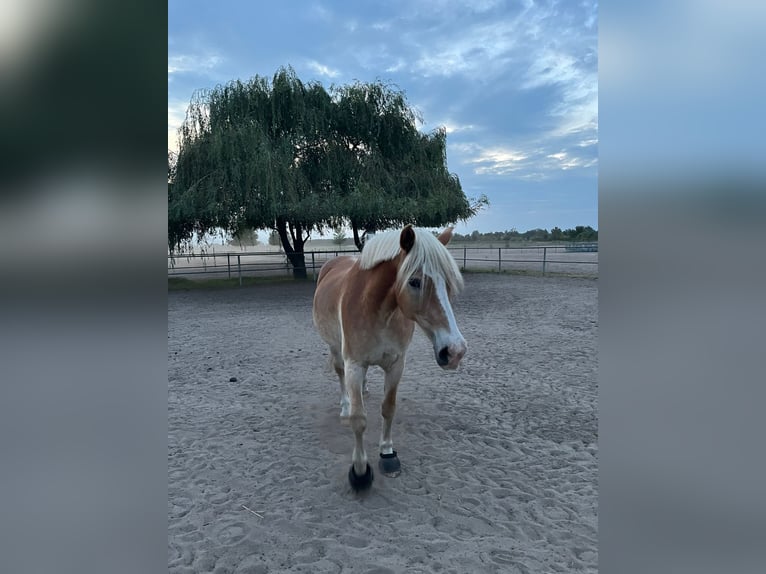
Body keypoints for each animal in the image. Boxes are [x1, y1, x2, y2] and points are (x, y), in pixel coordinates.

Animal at [312, 225, 468, 490]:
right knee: (340, 375)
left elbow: (388, 409)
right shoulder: (354, 364)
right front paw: (360, 471)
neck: (377, 310)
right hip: (335, 348)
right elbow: (359, 419)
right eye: (414, 281)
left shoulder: (396, 365)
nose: (454, 351)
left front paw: (387, 453)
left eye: (447, 283)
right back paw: (344, 406)